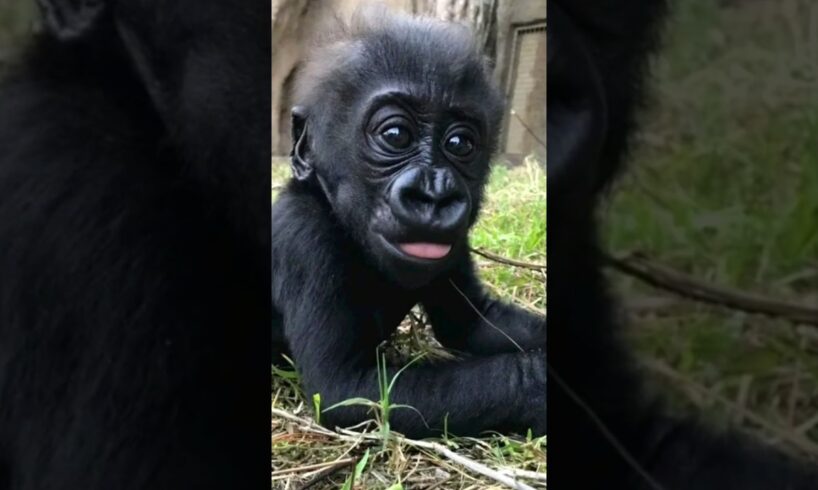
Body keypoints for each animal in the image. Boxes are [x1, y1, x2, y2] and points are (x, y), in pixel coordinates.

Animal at [270, 8, 544, 436]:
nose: (434, 195)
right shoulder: (304, 238)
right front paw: (542, 384)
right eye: (396, 135)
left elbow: (473, 321)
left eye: (459, 144)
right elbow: (345, 387)